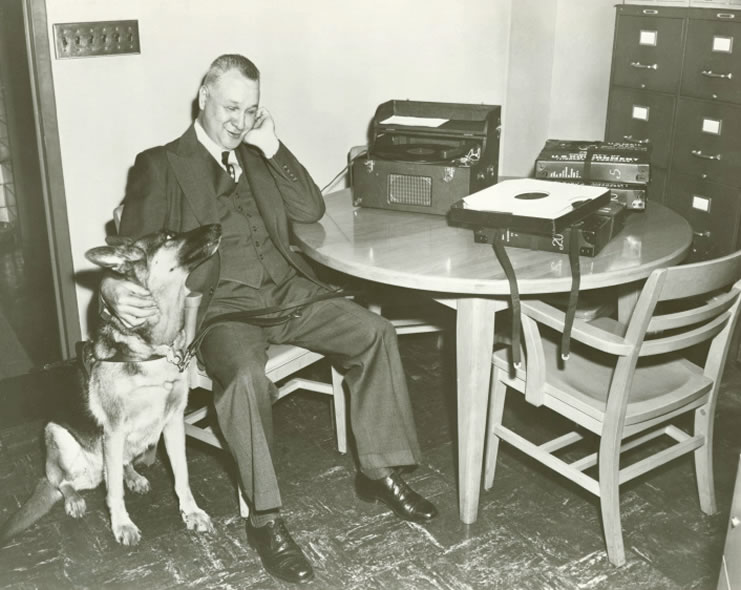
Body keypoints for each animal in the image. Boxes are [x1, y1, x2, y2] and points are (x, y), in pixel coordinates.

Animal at [0, 224, 220, 548]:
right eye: (168, 236)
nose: (218, 227)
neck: (155, 349)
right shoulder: (114, 431)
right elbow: (114, 491)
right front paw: (122, 525)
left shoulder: (173, 424)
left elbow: (181, 475)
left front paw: (191, 512)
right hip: (61, 439)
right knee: (63, 482)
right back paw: (73, 499)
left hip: (134, 443)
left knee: (116, 468)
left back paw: (133, 476)